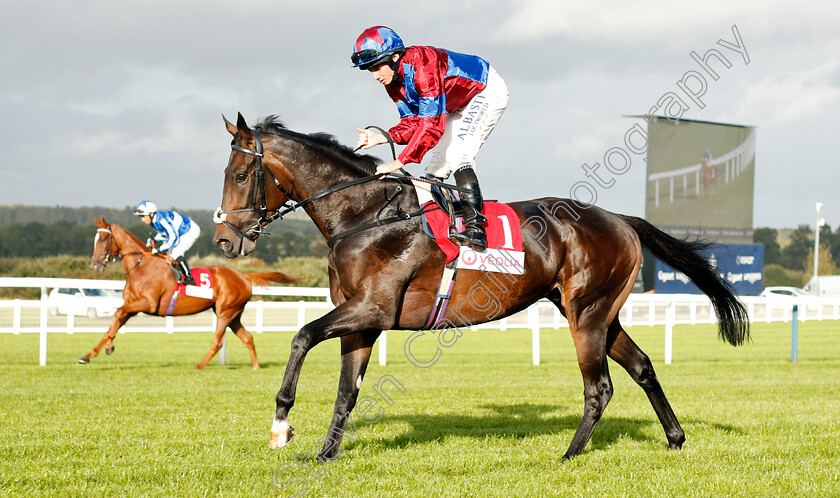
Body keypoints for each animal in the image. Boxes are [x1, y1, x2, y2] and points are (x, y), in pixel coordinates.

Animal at [79, 217, 296, 370]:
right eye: (96, 239)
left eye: (104, 238)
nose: (95, 265)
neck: (141, 266)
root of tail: (243, 276)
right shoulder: (133, 306)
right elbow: (114, 323)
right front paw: (91, 354)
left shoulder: (147, 303)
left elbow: (116, 313)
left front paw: (105, 348)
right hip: (233, 314)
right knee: (248, 338)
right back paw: (255, 367)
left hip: (225, 312)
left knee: (217, 342)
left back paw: (199, 366)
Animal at [210, 113, 748, 460]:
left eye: (239, 174)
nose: (224, 239)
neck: (364, 216)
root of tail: (621, 218)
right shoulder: (361, 321)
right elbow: (348, 390)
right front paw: (325, 454)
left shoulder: (373, 309)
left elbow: (301, 337)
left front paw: (281, 426)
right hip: (598, 312)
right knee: (641, 367)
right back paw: (674, 438)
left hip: (587, 313)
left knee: (600, 387)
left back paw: (568, 455)